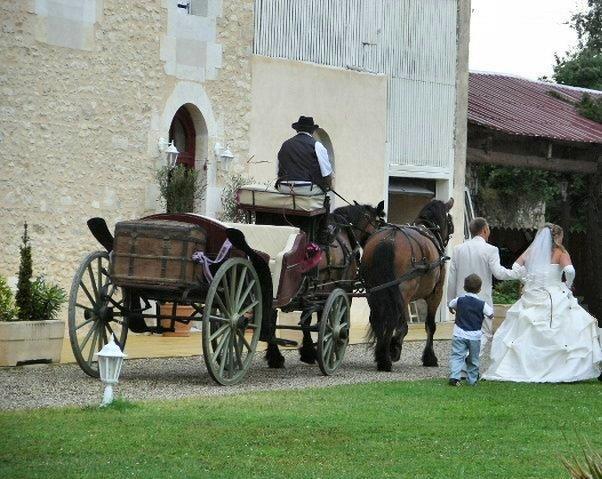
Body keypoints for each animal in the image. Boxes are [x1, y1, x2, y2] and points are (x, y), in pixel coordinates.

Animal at [358, 198, 452, 372]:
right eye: (450, 219)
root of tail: (389, 239)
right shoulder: (436, 293)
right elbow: (430, 325)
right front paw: (429, 357)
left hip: (373, 292)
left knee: (377, 320)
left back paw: (381, 355)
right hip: (402, 293)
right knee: (394, 322)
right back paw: (387, 357)